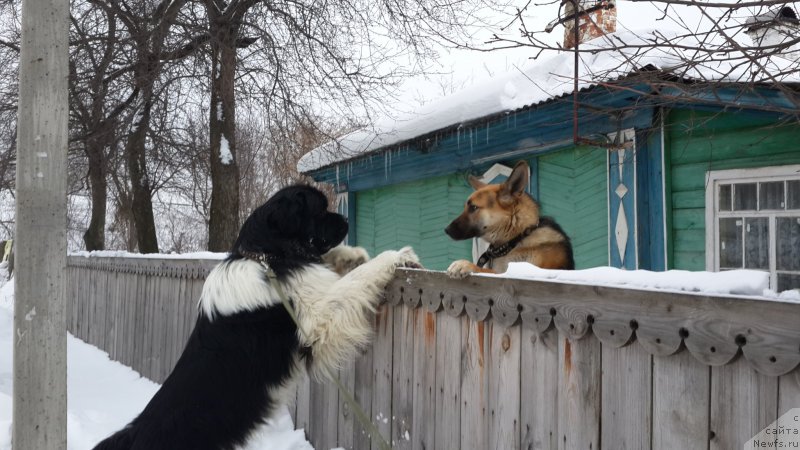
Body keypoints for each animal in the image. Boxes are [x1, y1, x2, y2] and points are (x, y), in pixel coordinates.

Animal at [94, 185, 418, 448]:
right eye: (320, 209)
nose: (346, 221)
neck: (267, 255)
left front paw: (353, 255)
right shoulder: (315, 322)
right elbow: (357, 280)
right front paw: (397, 255)